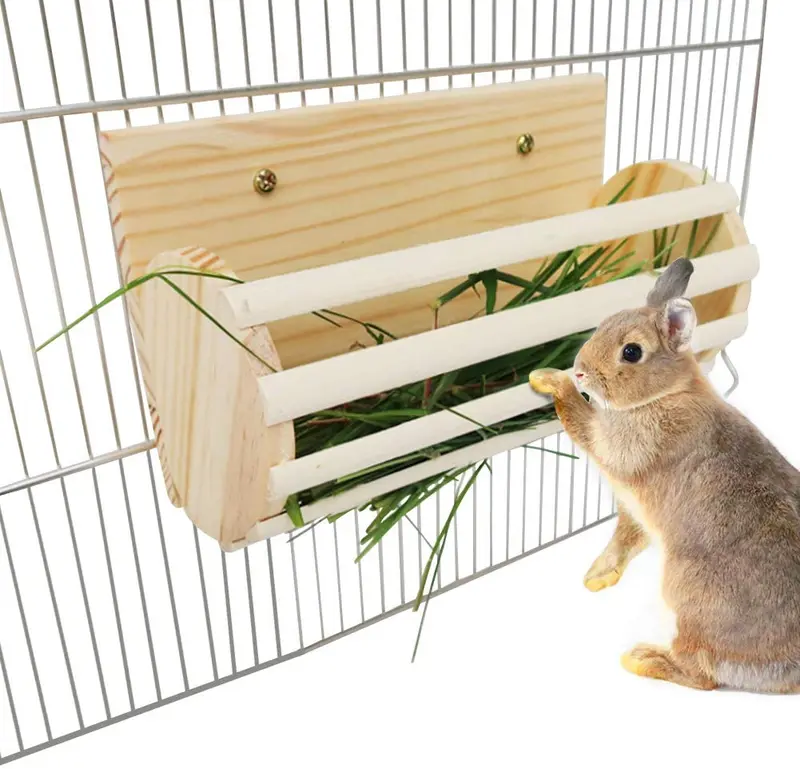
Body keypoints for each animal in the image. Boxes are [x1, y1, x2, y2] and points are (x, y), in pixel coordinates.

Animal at [529, 257, 800, 692]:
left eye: (631, 351)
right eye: (604, 323)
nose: (581, 370)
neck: (665, 394)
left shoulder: (620, 445)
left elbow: (581, 419)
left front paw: (550, 378)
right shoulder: (634, 511)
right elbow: (624, 540)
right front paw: (597, 577)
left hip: (687, 595)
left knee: (703, 675)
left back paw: (643, 659)